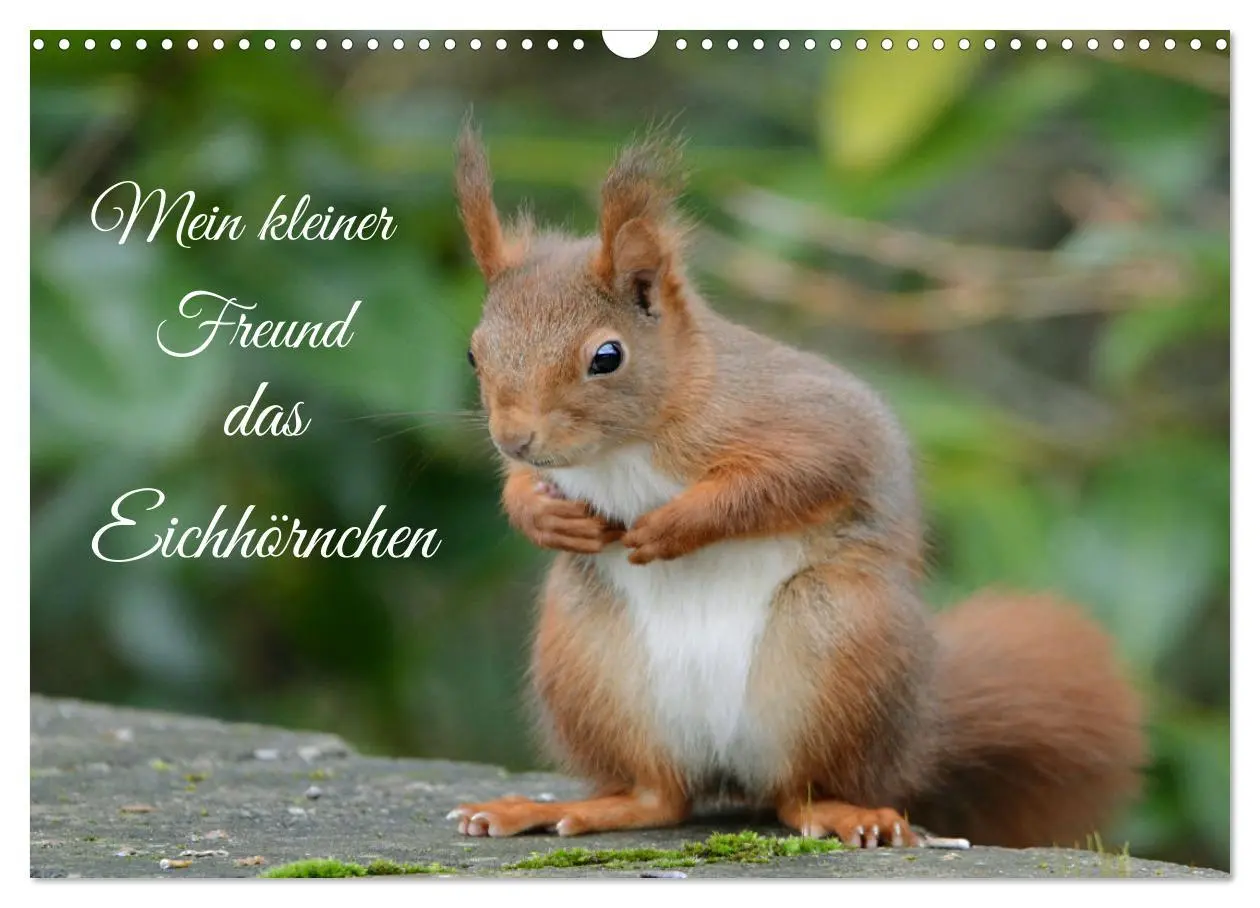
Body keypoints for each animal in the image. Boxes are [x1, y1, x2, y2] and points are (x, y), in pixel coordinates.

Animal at [445, 120, 1147, 848]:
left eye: (606, 357)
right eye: (473, 352)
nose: (514, 437)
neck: (626, 446)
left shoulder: (808, 423)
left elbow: (791, 477)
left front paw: (674, 526)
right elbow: (526, 488)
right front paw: (542, 514)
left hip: (834, 645)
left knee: (797, 794)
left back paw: (849, 814)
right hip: (590, 661)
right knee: (660, 797)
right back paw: (560, 808)